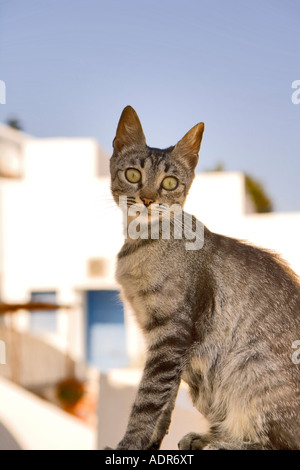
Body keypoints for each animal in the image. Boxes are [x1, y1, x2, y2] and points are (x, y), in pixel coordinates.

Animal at [108, 104, 300, 450]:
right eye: (133, 175)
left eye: (170, 182)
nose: (147, 199)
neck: (143, 241)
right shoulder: (170, 347)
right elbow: (164, 405)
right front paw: (150, 445)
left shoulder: (171, 335)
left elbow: (147, 400)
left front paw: (129, 446)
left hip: (249, 365)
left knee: (279, 443)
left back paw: (219, 443)